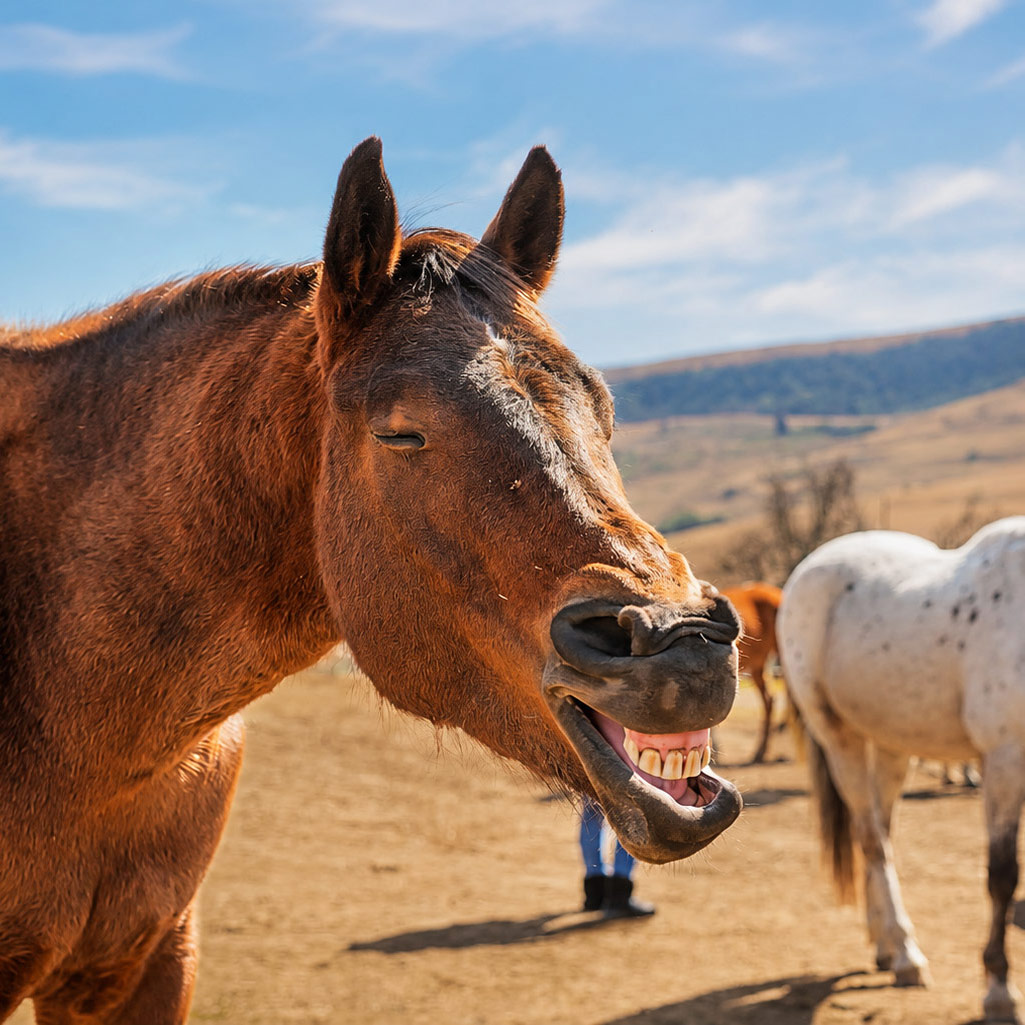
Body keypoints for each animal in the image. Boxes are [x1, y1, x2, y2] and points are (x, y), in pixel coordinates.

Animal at [778, 518, 1025, 1023]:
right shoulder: (1005, 759)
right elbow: (1003, 875)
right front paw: (999, 989)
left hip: (893, 747)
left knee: (880, 834)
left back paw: (885, 946)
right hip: (840, 740)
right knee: (871, 839)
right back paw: (907, 955)